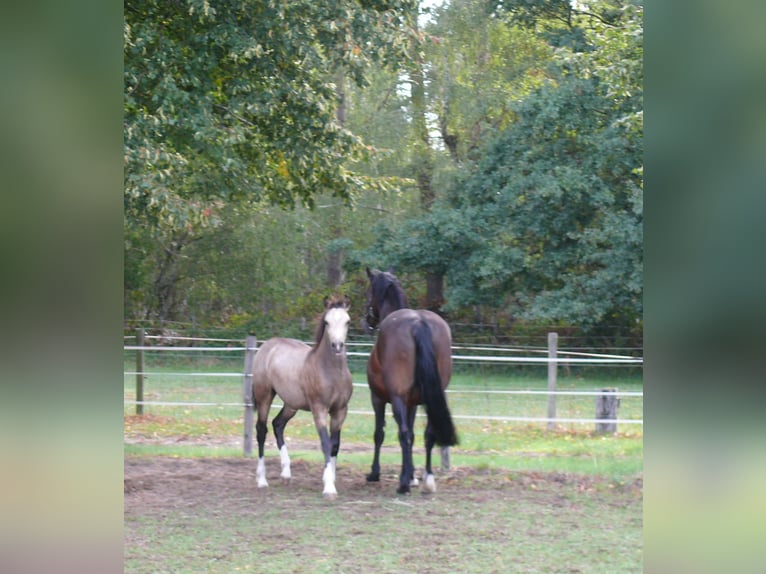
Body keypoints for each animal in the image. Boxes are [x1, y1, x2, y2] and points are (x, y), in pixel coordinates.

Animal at [251, 295, 353, 499]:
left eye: (347, 321)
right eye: (327, 322)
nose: (337, 346)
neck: (333, 372)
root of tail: (267, 346)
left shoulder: (340, 411)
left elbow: (335, 445)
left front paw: (331, 479)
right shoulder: (319, 409)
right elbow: (325, 443)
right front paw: (329, 487)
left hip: (291, 404)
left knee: (277, 424)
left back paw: (286, 474)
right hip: (264, 396)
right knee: (261, 430)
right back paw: (262, 480)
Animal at [364, 267, 458, 494]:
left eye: (368, 292)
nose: (368, 322)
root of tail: (418, 322)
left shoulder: (378, 399)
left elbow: (380, 434)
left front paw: (376, 473)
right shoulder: (413, 403)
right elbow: (414, 435)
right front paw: (413, 474)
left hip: (396, 399)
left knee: (403, 433)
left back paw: (403, 485)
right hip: (430, 398)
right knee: (428, 433)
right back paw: (428, 479)